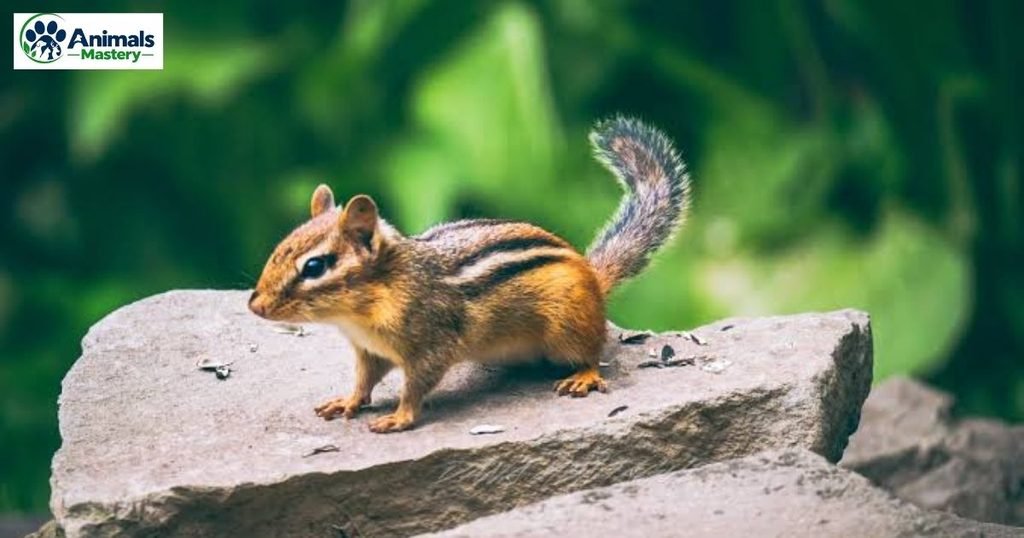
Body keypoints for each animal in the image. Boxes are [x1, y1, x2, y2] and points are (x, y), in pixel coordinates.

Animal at [249, 117, 690, 433]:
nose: (255, 305)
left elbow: (417, 385)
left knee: (592, 352)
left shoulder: (431, 343)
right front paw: (348, 400)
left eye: (314, 266)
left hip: (568, 325)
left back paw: (583, 376)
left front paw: (400, 417)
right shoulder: (369, 351)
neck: (364, 309)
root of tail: (591, 276)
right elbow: (364, 380)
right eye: (280, 246)